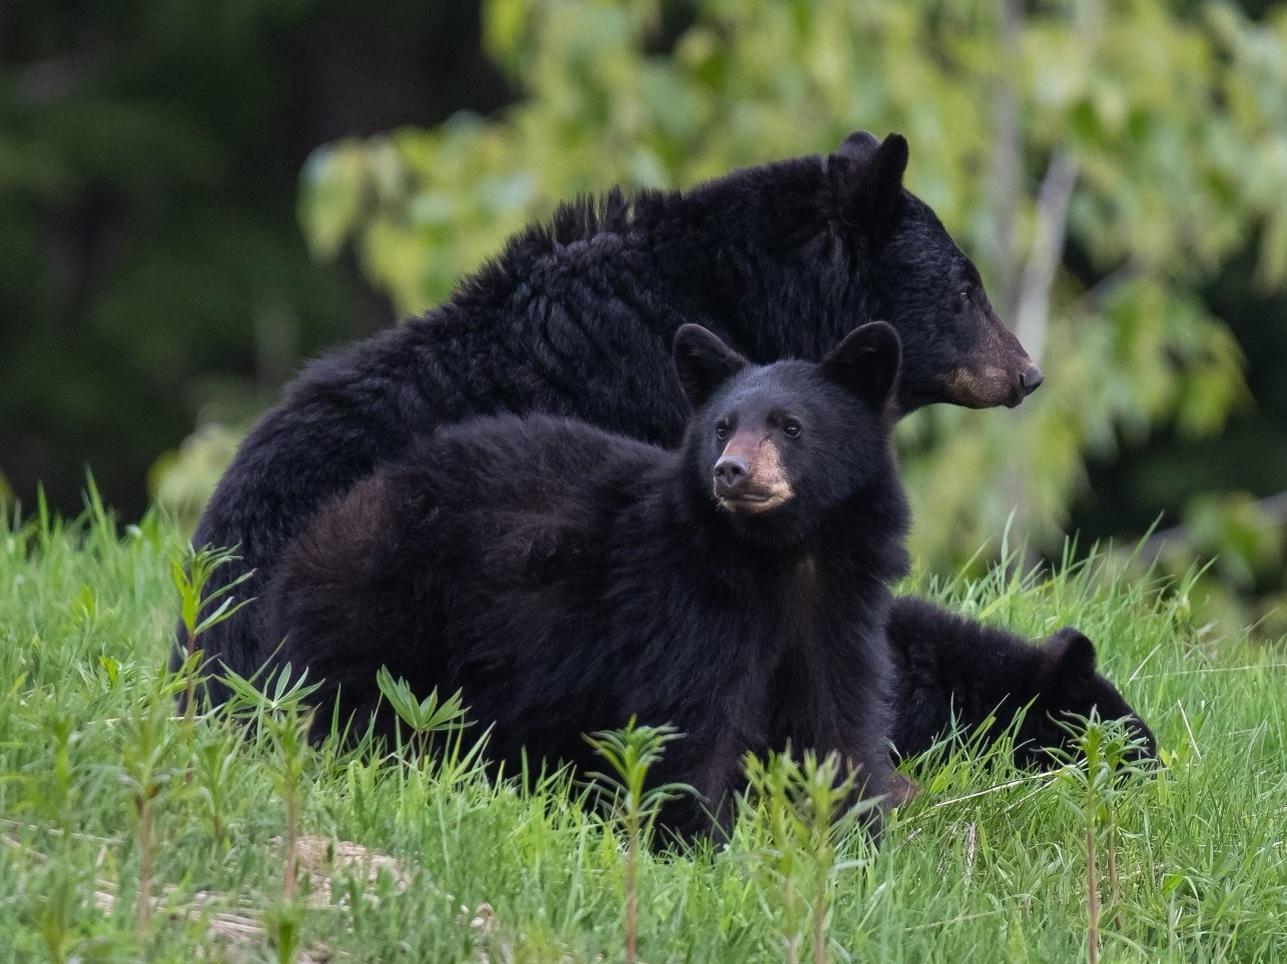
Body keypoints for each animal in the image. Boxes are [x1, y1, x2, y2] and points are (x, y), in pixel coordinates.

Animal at [263, 323, 906, 834]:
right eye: (722, 427)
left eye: (790, 426)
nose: (731, 471)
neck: (777, 559)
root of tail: (338, 509)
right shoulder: (685, 600)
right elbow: (693, 723)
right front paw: (697, 843)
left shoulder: (839, 608)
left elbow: (836, 723)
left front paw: (855, 841)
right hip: (382, 605)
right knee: (352, 701)